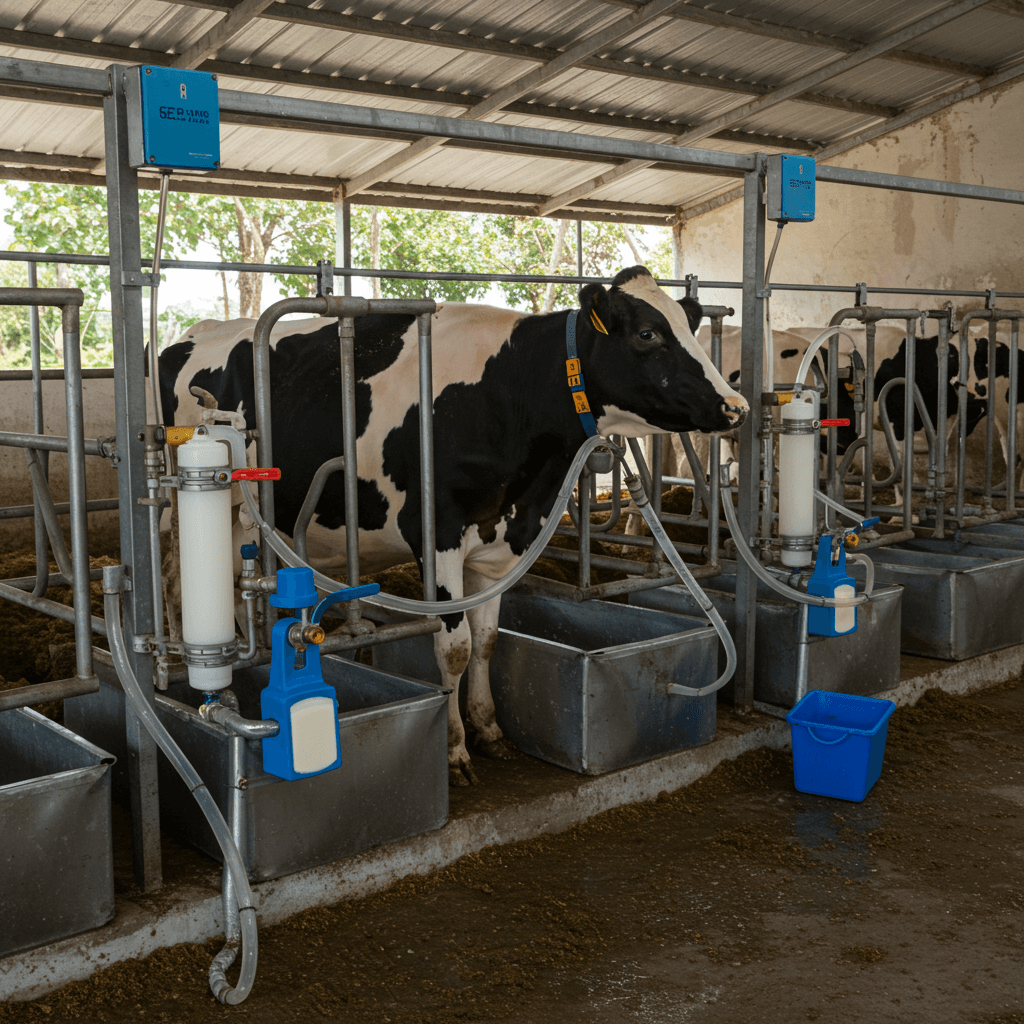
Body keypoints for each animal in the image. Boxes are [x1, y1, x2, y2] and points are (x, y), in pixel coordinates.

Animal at [159, 266, 747, 785]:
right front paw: (455, 750)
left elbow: (486, 640)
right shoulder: (436, 534)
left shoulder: (505, 540)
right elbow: (455, 646)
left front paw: (490, 731)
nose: (736, 406)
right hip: (187, 506)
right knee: (175, 584)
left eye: (688, 325)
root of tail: (189, 333)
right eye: (648, 333)